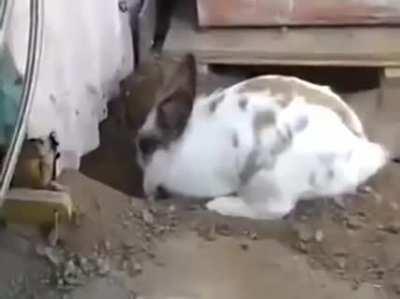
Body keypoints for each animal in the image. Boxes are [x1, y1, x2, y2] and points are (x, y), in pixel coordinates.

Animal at [136, 55, 396, 221]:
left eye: (146, 146)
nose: (146, 191)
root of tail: (361, 147)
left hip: (268, 182)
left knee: (274, 210)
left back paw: (220, 205)